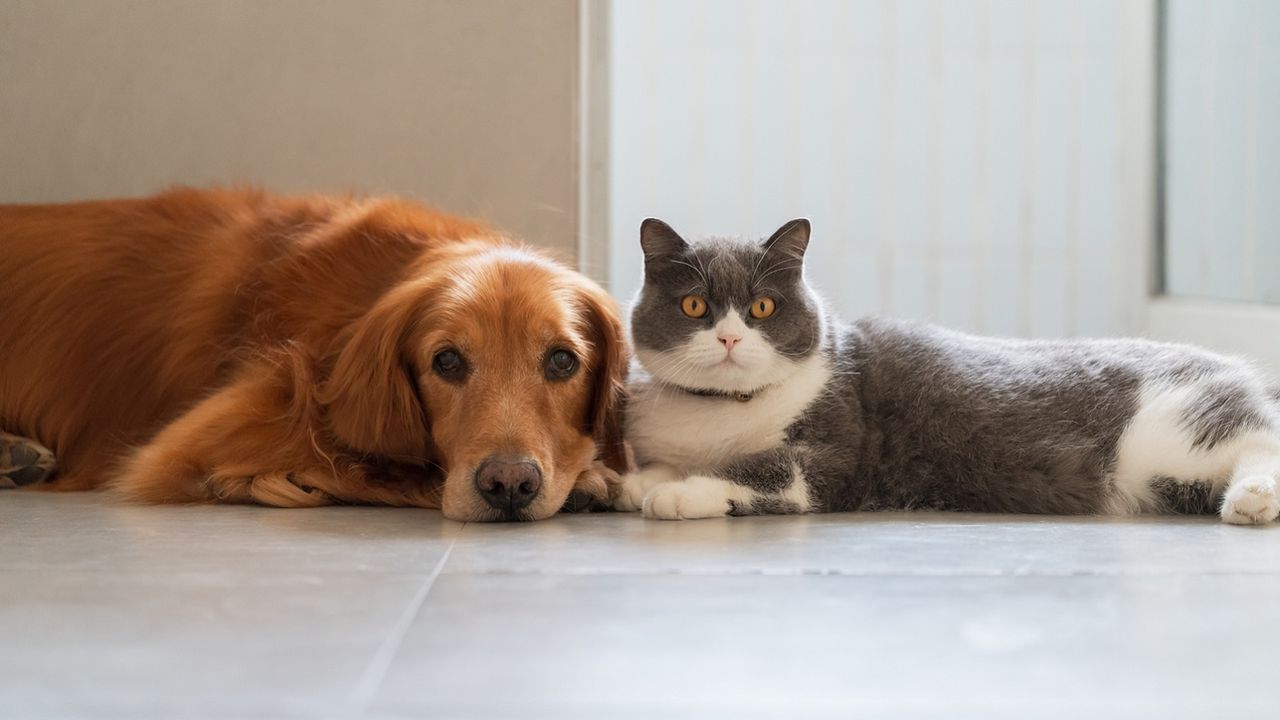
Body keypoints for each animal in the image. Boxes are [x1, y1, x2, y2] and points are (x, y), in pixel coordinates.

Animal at [609, 215, 1280, 525]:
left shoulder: (828, 455)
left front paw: (677, 492)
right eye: (694, 306)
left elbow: (761, 469)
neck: (721, 411)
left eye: (762, 308)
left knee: (1257, 440)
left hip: (1173, 433)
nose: (728, 336)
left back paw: (1252, 500)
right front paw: (638, 481)